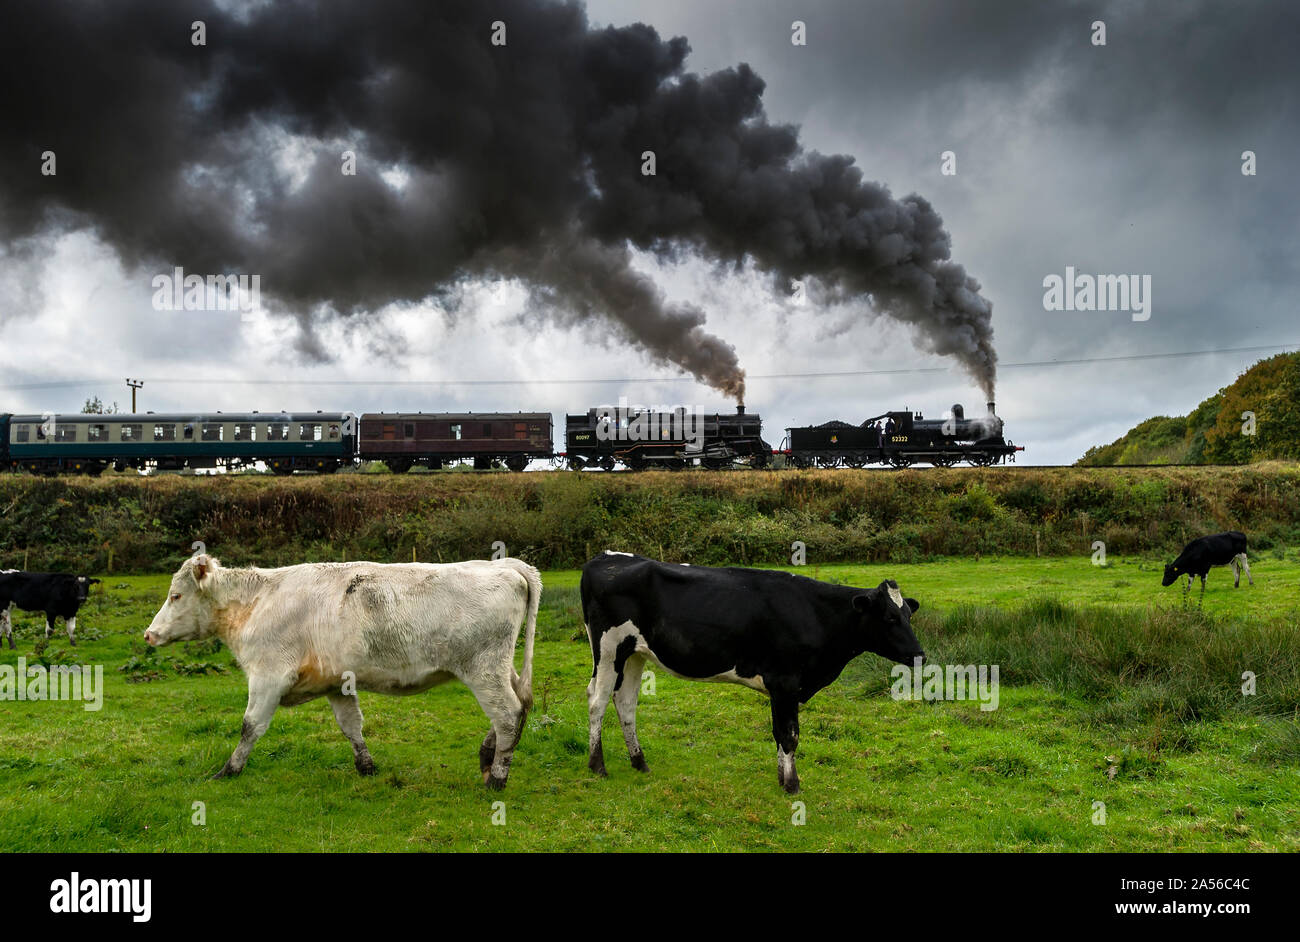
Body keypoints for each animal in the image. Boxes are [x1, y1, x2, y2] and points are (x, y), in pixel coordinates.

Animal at [144, 550, 540, 784]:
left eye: (176, 595)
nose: (149, 634)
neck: (258, 602)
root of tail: (504, 564)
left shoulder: (268, 676)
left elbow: (250, 727)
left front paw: (229, 770)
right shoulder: (336, 682)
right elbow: (351, 726)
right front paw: (366, 767)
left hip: (483, 670)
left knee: (507, 714)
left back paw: (497, 776)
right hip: (500, 669)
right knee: (520, 706)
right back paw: (488, 756)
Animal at [579, 550, 925, 795]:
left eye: (908, 614)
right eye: (890, 618)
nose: (920, 654)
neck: (816, 614)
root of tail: (606, 557)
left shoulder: (781, 688)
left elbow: (777, 733)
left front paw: (781, 778)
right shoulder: (785, 682)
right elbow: (790, 735)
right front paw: (793, 785)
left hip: (634, 653)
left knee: (625, 703)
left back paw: (639, 762)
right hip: (608, 649)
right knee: (597, 700)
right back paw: (597, 766)